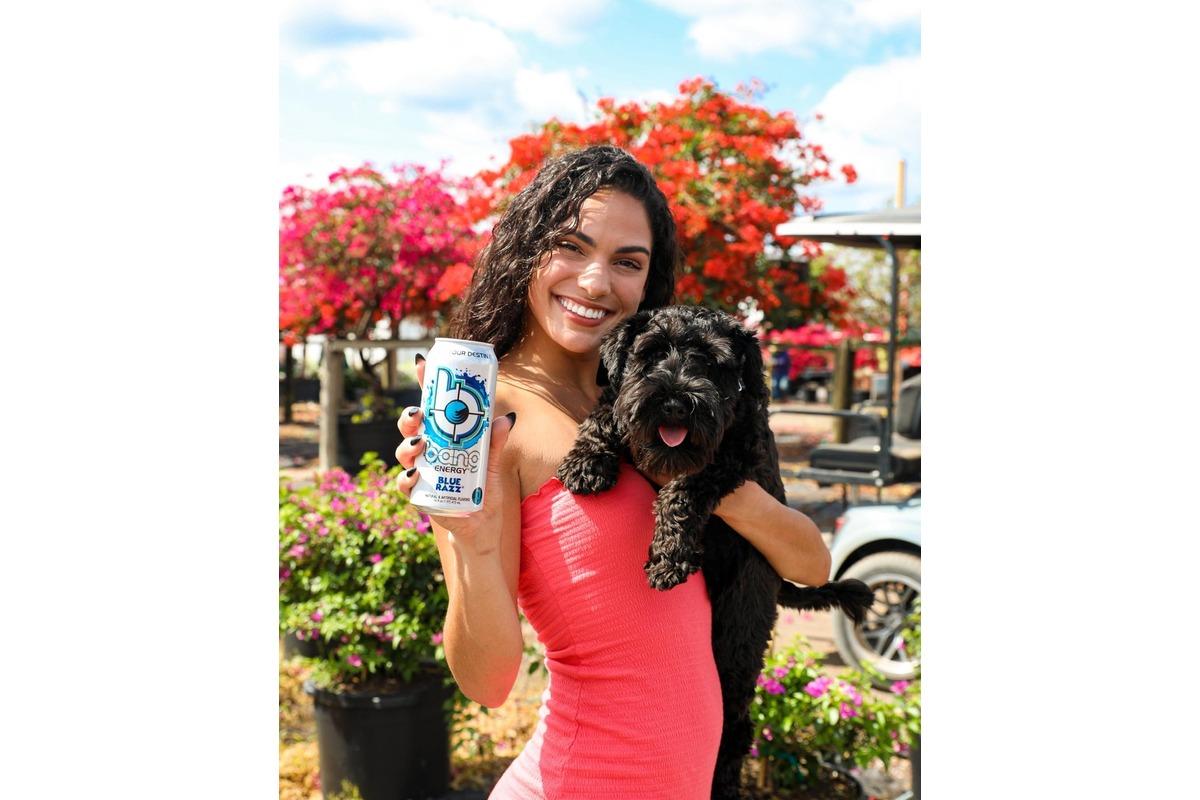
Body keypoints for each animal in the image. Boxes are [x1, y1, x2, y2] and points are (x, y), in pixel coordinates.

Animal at [552, 303, 873, 796]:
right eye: (652, 353)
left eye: (710, 361)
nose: (674, 401)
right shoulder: (621, 403)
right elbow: (604, 413)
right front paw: (587, 462)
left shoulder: (734, 456)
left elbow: (685, 486)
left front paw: (670, 556)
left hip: (739, 634)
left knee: (736, 725)